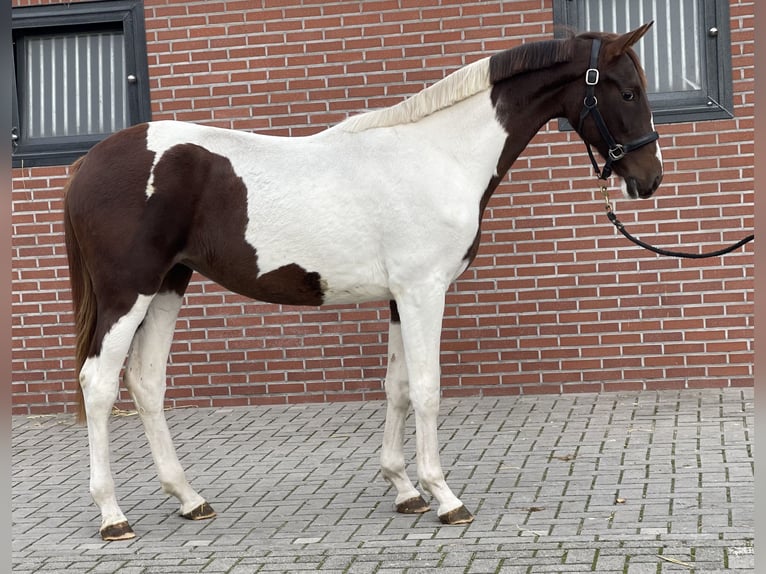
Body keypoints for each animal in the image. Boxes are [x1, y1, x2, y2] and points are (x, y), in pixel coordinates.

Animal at [63, 23, 664, 544]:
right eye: (628, 91)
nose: (649, 179)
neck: (439, 154)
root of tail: (89, 164)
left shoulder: (401, 298)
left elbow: (396, 387)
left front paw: (405, 490)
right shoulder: (424, 292)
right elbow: (426, 390)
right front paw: (445, 498)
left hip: (168, 286)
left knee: (145, 384)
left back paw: (189, 499)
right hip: (128, 293)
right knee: (99, 384)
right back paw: (112, 515)